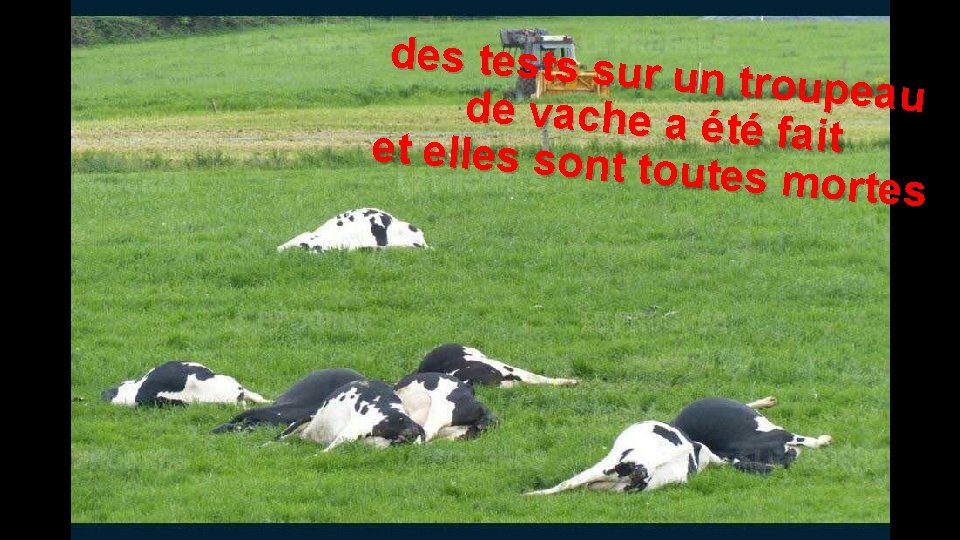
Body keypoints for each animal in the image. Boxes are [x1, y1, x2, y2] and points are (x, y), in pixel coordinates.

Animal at [670, 396, 833, 473]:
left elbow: (810, 442)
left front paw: (825, 440)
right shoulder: (783, 435)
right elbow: (809, 442)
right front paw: (825, 440)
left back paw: (767, 401)